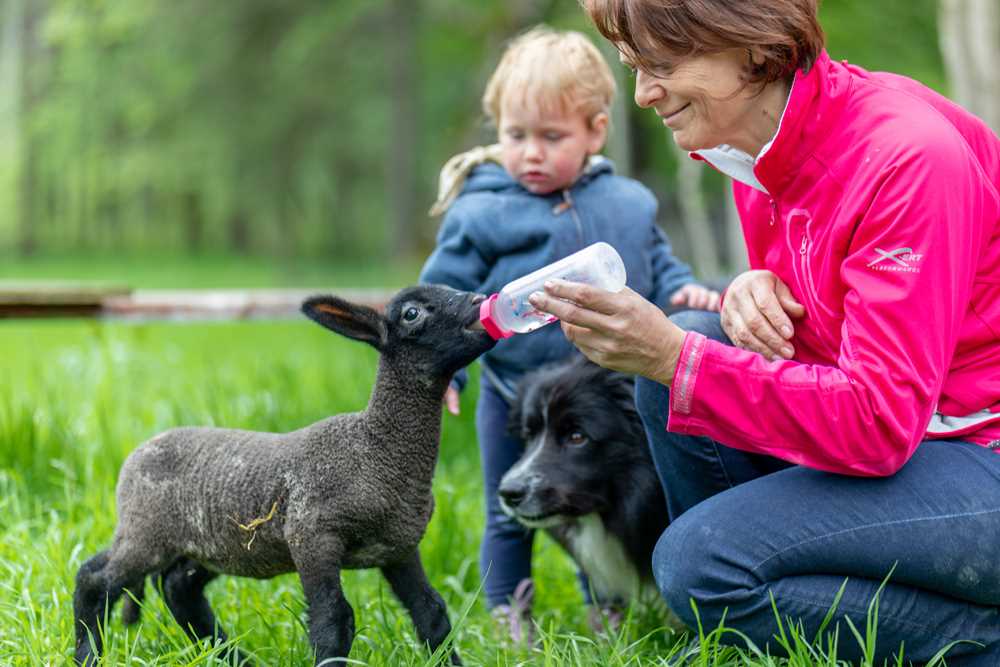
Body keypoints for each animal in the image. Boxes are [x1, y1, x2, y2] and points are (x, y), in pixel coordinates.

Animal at [71, 284, 496, 664]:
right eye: (412, 313)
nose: (481, 301)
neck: (376, 449)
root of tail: (139, 451)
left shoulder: (399, 548)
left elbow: (431, 613)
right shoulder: (312, 536)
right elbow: (333, 622)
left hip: (202, 544)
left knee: (175, 588)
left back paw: (235, 658)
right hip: (148, 533)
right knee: (95, 582)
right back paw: (88, 655)